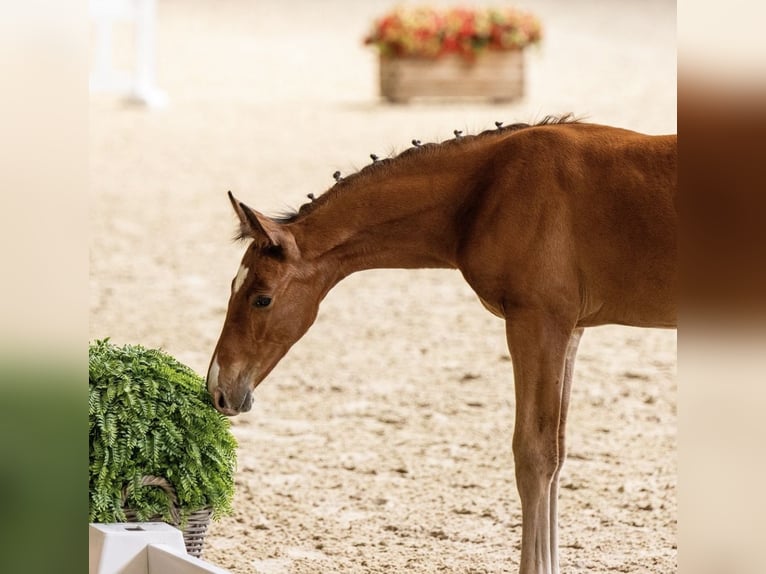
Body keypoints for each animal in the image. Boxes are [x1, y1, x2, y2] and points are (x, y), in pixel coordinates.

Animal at [207, 115, 676, 572]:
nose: (218, 389)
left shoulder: (538, 322)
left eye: (261, 298)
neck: (489, 190)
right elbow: (558, 453)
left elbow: (534, 454)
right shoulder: (571, 330)